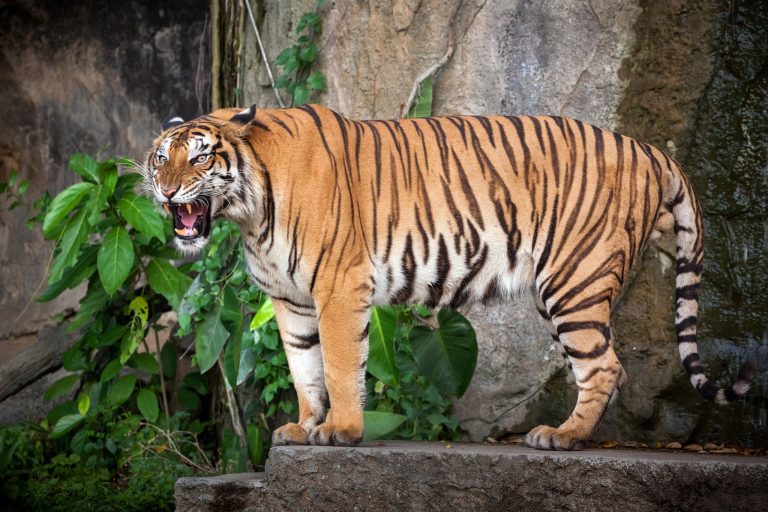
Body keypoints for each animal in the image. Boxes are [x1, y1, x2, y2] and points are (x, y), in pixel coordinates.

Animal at [144, 103, 754, 450]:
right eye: (159, 159)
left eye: (200, 158)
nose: (167, 193)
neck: (249, 213)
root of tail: (648, 148)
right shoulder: (291, 302)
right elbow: (304, 370)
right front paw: (303, 427)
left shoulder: (338, 287)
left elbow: (339, 365)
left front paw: (341, 431)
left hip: (574, 280)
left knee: (605, 366)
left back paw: (562, 438)